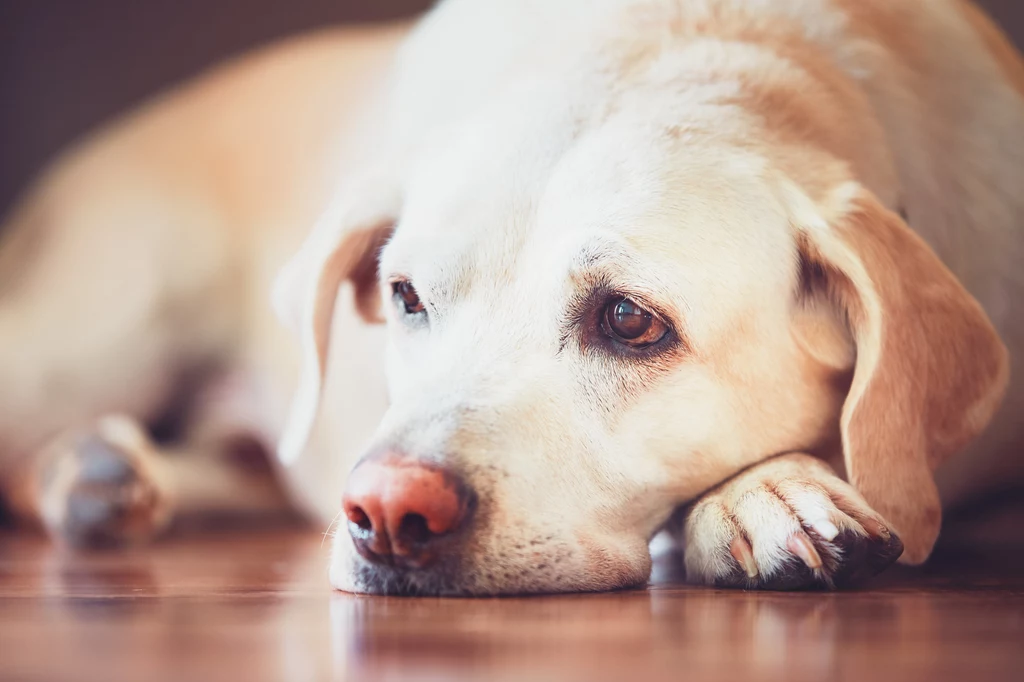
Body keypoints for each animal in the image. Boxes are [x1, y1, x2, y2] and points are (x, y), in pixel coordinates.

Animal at [0, 0, 1019, 593]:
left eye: (629, 320)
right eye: (405, 295)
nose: (386, 512)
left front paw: (766, 490)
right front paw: (765, 493)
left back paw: (104, 475)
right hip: (93, 340)